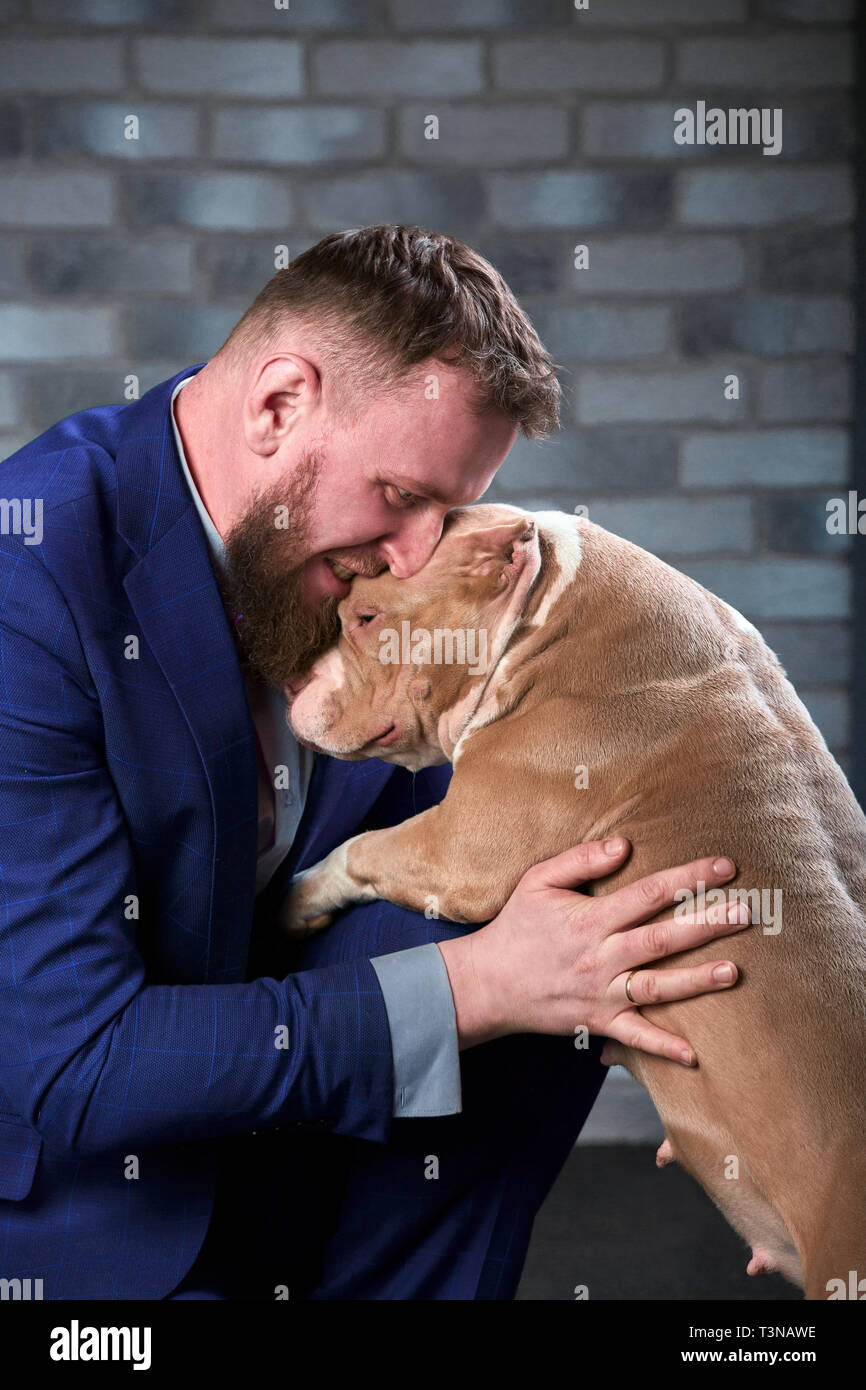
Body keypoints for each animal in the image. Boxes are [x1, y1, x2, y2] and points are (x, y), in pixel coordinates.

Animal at [283, 505, 866, 1295]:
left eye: (366, 616)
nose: (289, 684)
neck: (543, 606)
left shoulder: (461, 847)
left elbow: (360, 846)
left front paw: (295, 898)